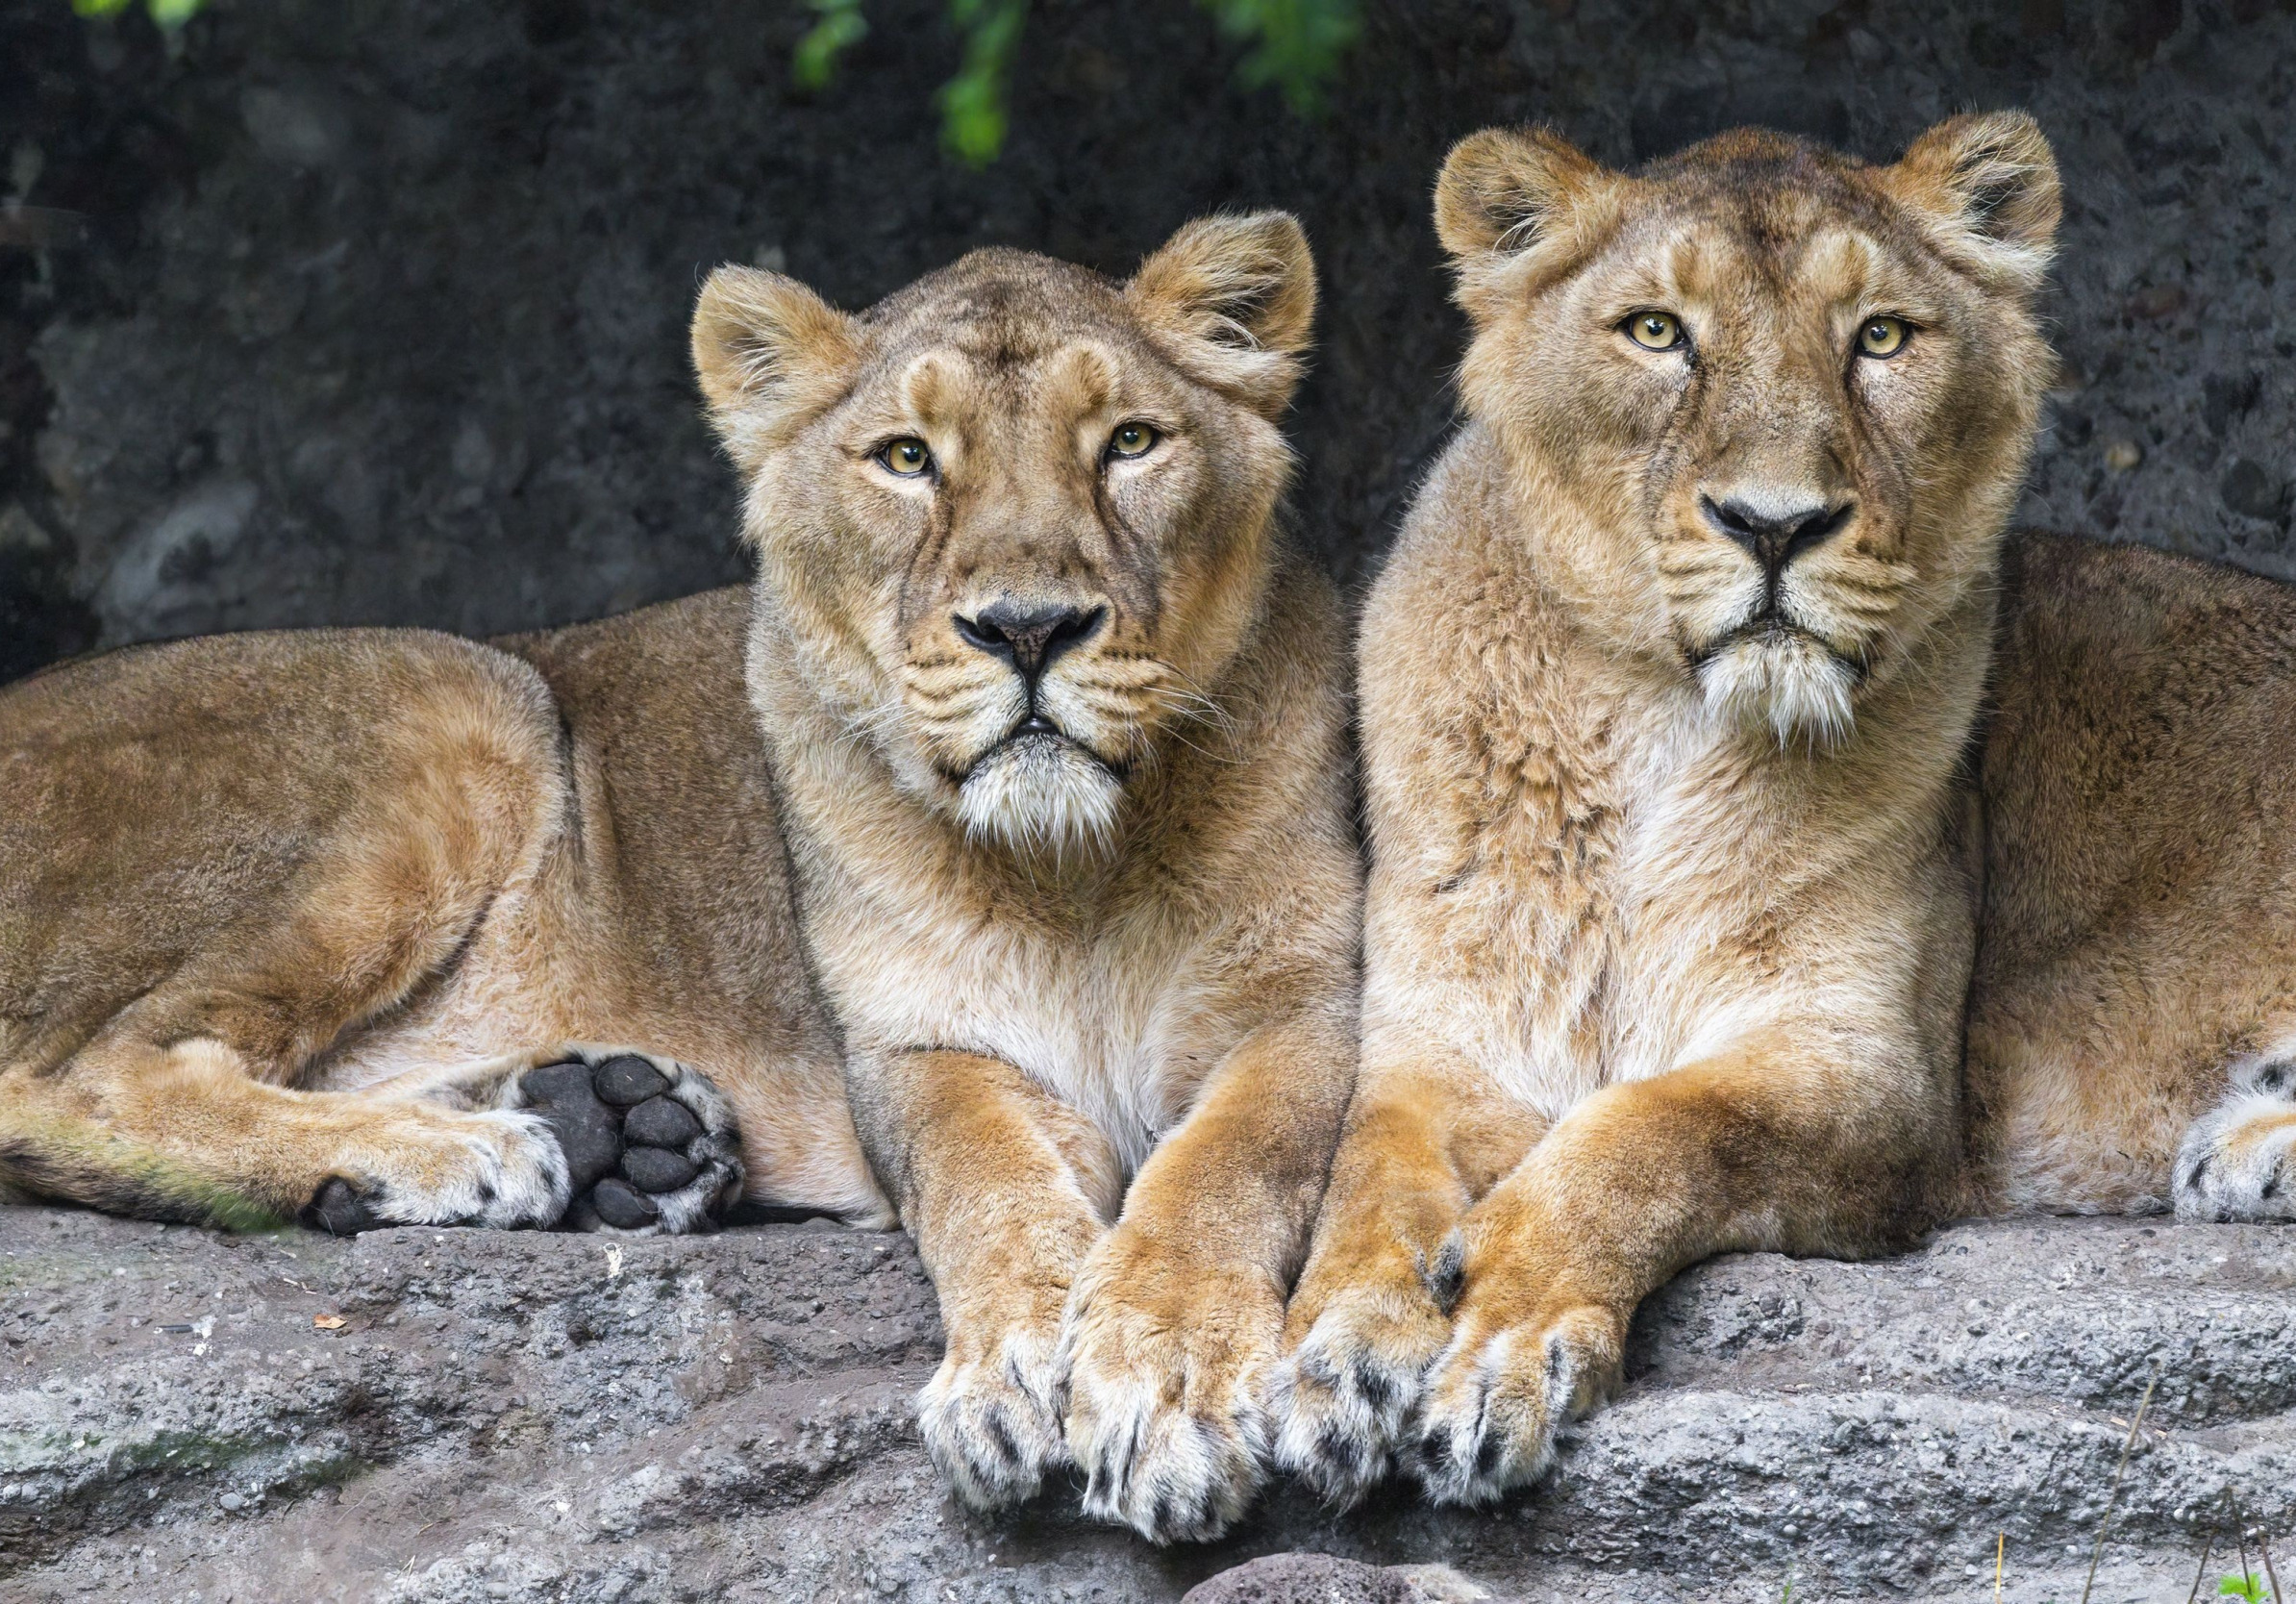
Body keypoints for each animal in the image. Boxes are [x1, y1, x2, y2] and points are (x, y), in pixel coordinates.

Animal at [0, 214, 1361, 1544]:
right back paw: (474, 1152)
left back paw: (614, 1127)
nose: (1029, 630)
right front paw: (1023, 1371)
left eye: (1130, 441)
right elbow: (991, 1192)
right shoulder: (917, 1051)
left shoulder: (1310, 1011)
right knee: (89, 1075)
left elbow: (1223, 1175)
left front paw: (1160, 1383)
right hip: (467, 692)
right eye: (907, 458)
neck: (1080, 870)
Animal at [1271, 112, 2296, 1510]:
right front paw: (1343, 1353)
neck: (1652, 732)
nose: (1776, 526)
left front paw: (1501, 1330)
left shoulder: (1873, 1075)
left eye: (1882, 337)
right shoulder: (1442, 1051)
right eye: (1656, 331)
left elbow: (1656, 1130)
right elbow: (1364, 1185)